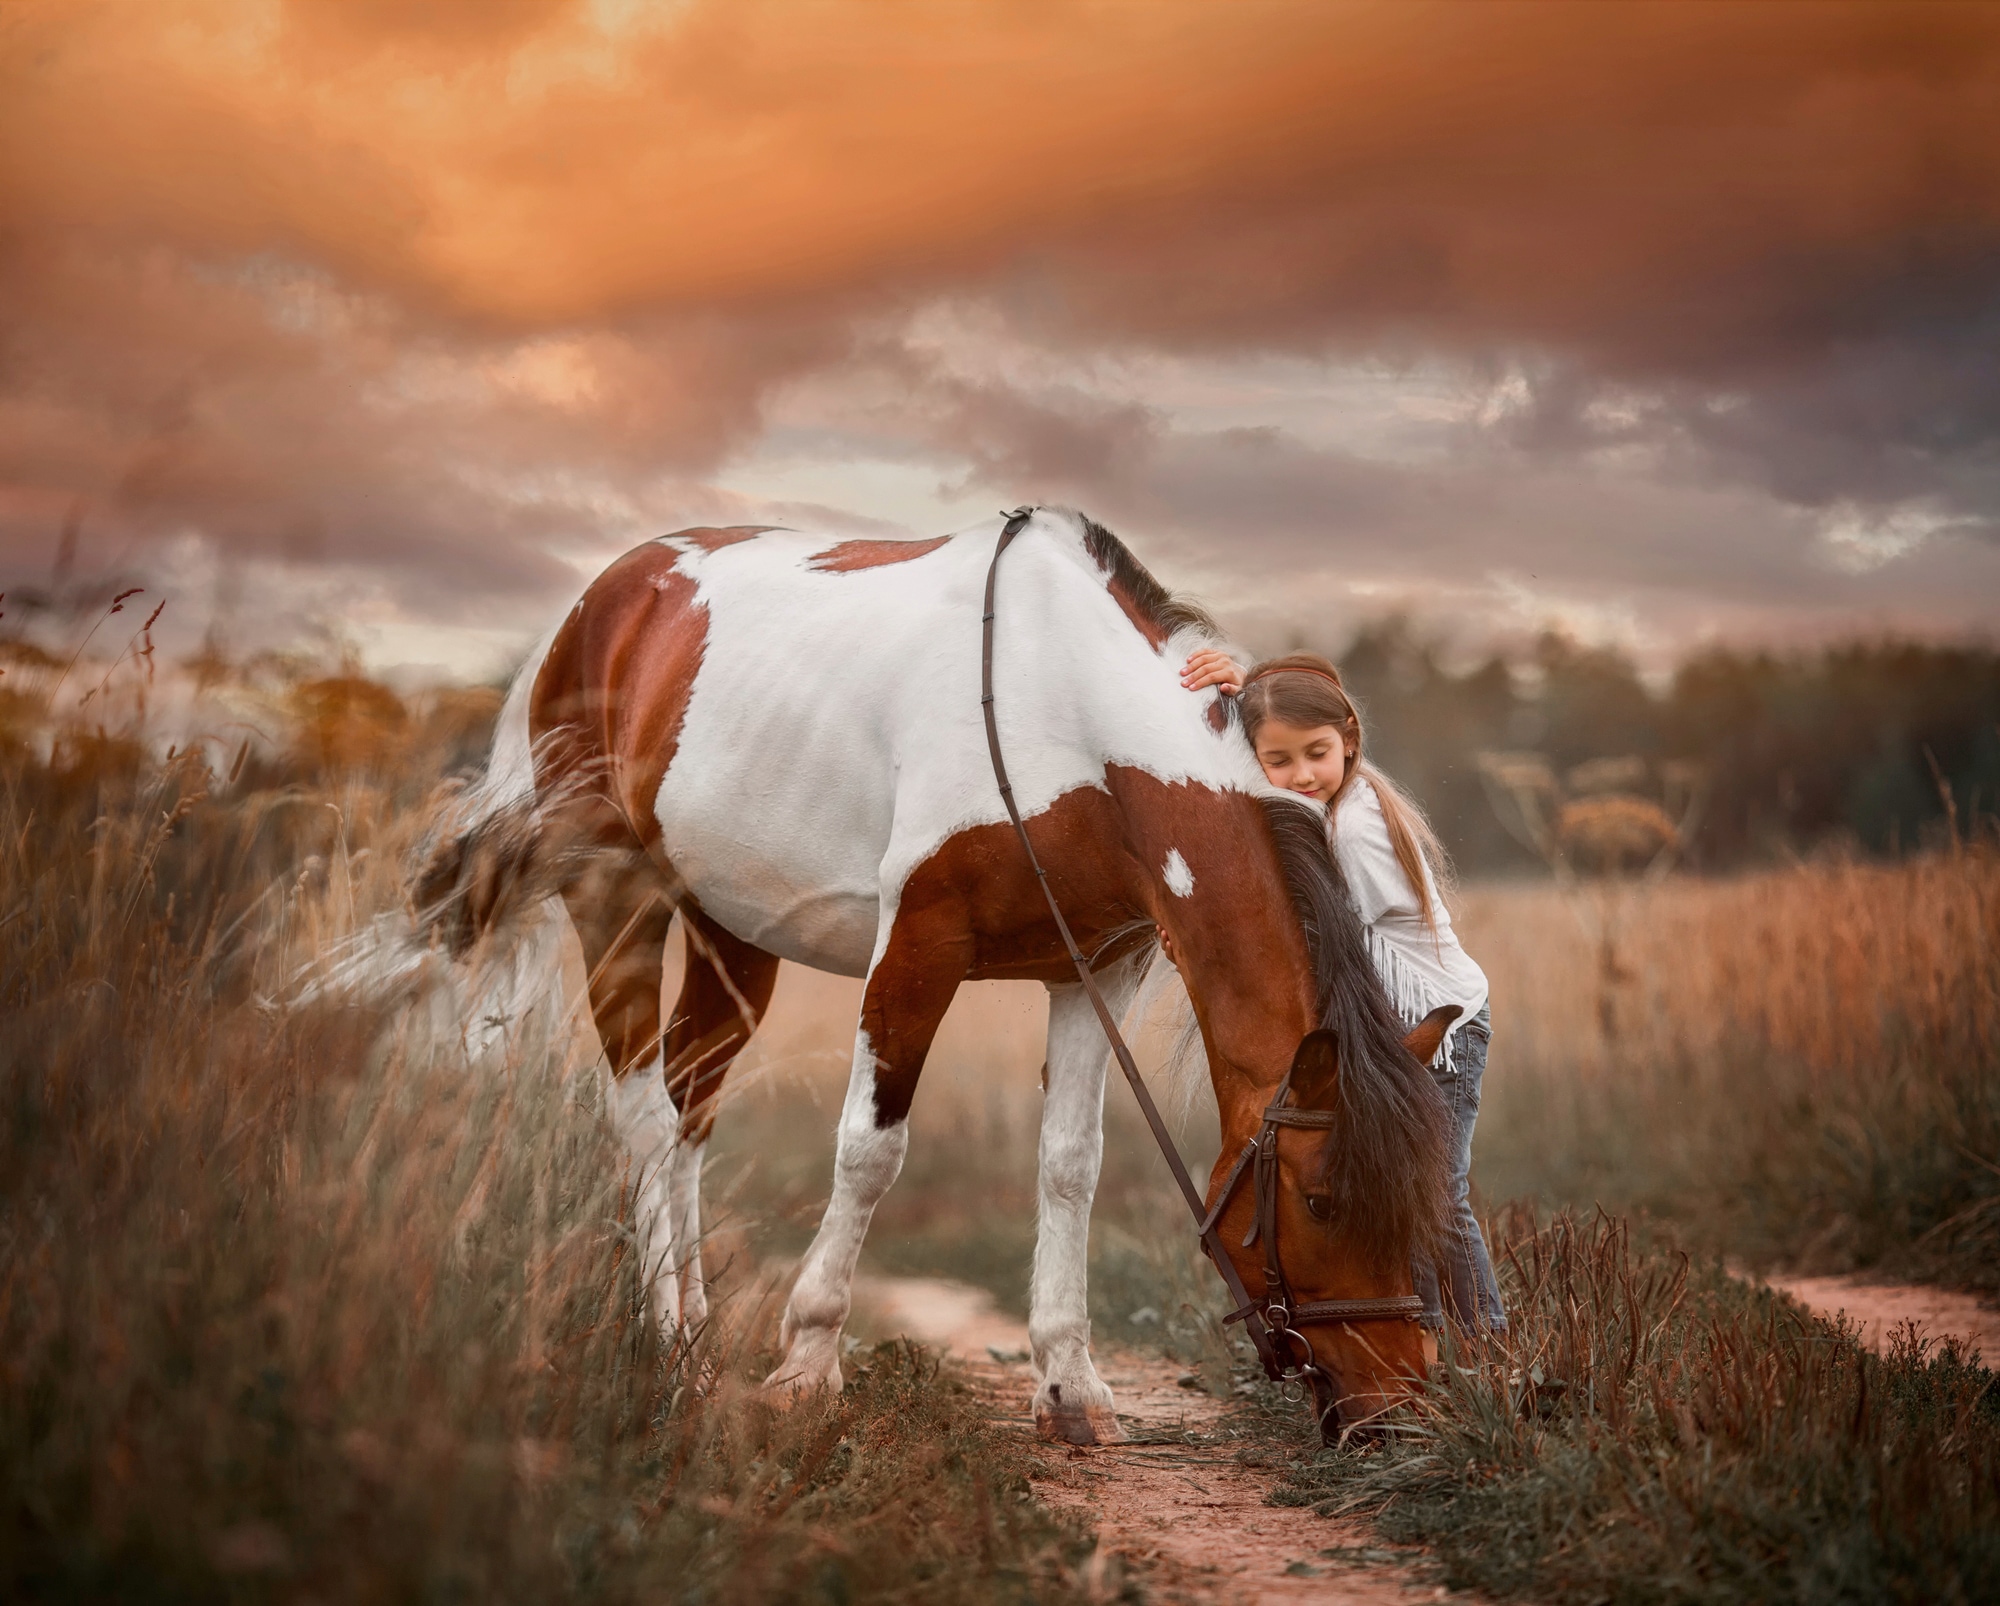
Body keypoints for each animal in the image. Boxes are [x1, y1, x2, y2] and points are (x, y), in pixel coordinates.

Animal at [414, 506, 1448, 1448]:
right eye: (1319, 1202)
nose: (1399, 1409)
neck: (1068, 720)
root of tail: (602, 601)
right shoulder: (919, 944)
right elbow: (870, 1152)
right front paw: (806, 1368)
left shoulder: (1097, 968)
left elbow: (1071, 1162)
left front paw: (1070, 1388)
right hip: (616, 894)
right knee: (642, 1116)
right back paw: (667, 1339)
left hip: (731, 932)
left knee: (689, 1109)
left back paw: (699, 1338)